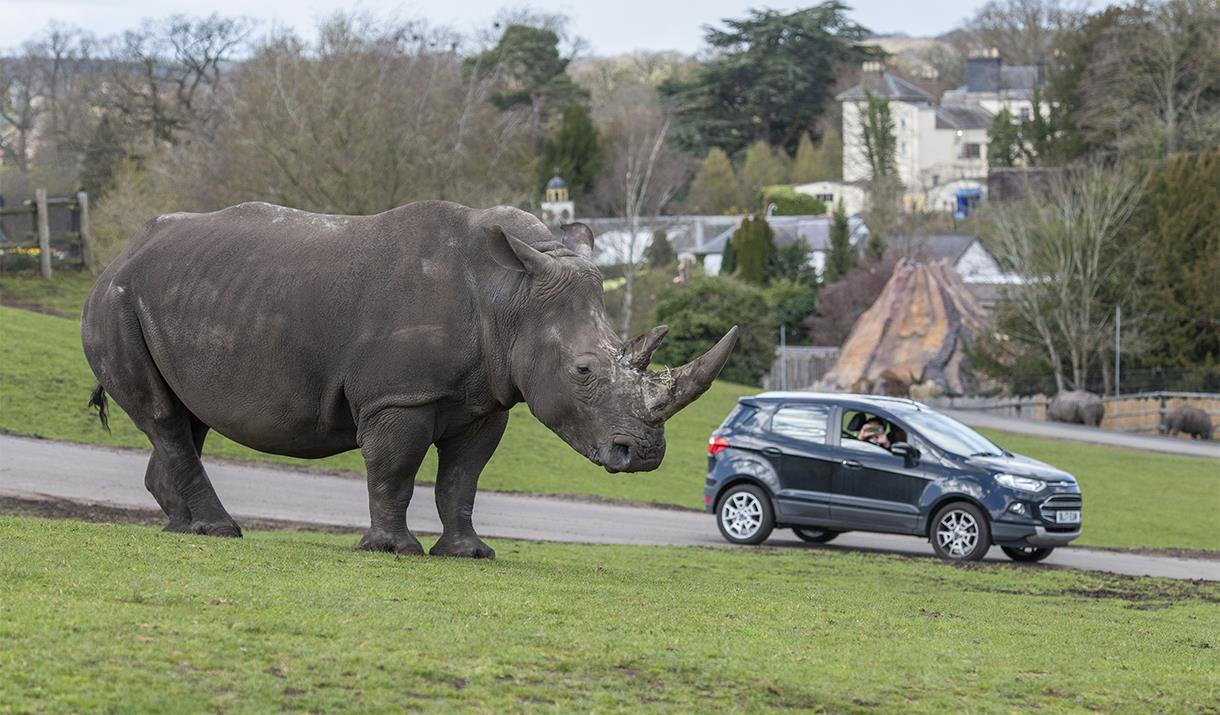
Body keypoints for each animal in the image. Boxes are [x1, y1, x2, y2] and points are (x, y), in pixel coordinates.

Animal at [83, 200, 741, 556]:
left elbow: (462, 479)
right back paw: (220, 532)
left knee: (184, 419)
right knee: (166, 418)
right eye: (583, 372)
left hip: (170, 297)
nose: (645, 455)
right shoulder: (396, 396)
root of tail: (118, 255)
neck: (511, 294)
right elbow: (395, 468)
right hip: (118, 300)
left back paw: (183, 529)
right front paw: (392, 550)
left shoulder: (487, 399)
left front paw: (469, 554)